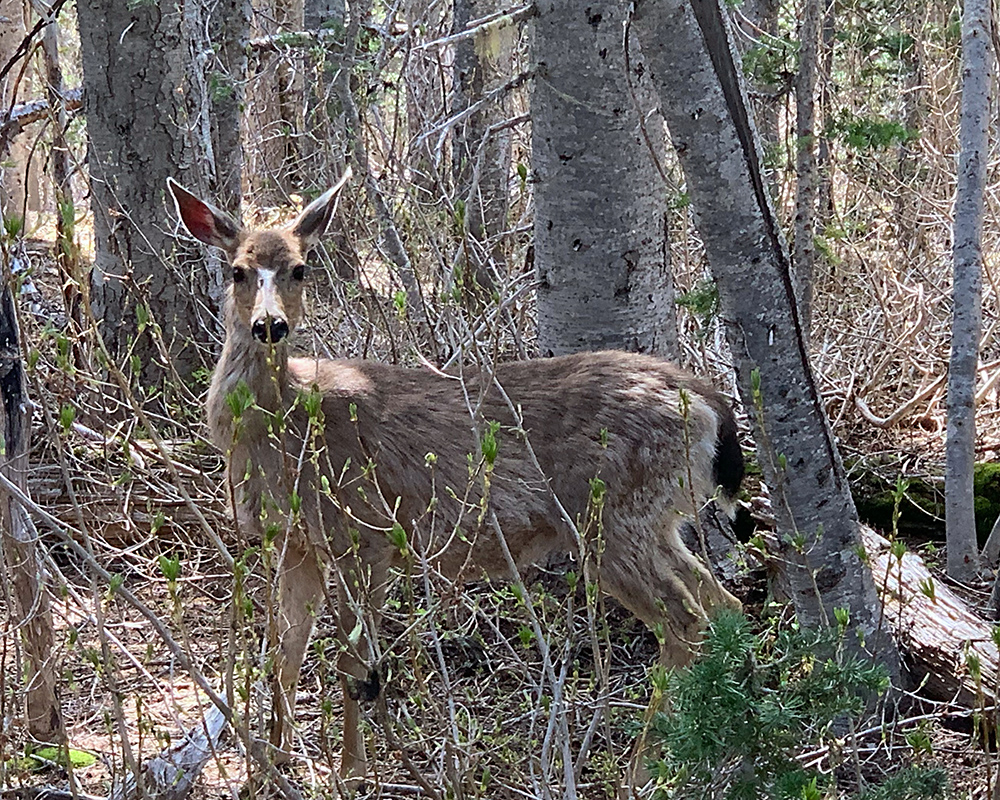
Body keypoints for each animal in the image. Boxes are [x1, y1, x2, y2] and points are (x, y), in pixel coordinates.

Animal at [168, 173, 744, 780]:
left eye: (300, 268)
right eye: (238, 270)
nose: (269, 325)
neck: (288, 427)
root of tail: (709, 403)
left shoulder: (364, 531)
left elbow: (353, 665)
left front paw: (352, 771)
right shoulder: (297, 542)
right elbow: (285, 653)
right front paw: (271, 766)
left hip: (612, 519)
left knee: (685, 620)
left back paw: (646, 771)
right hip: (652, 522)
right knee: (722, 606)